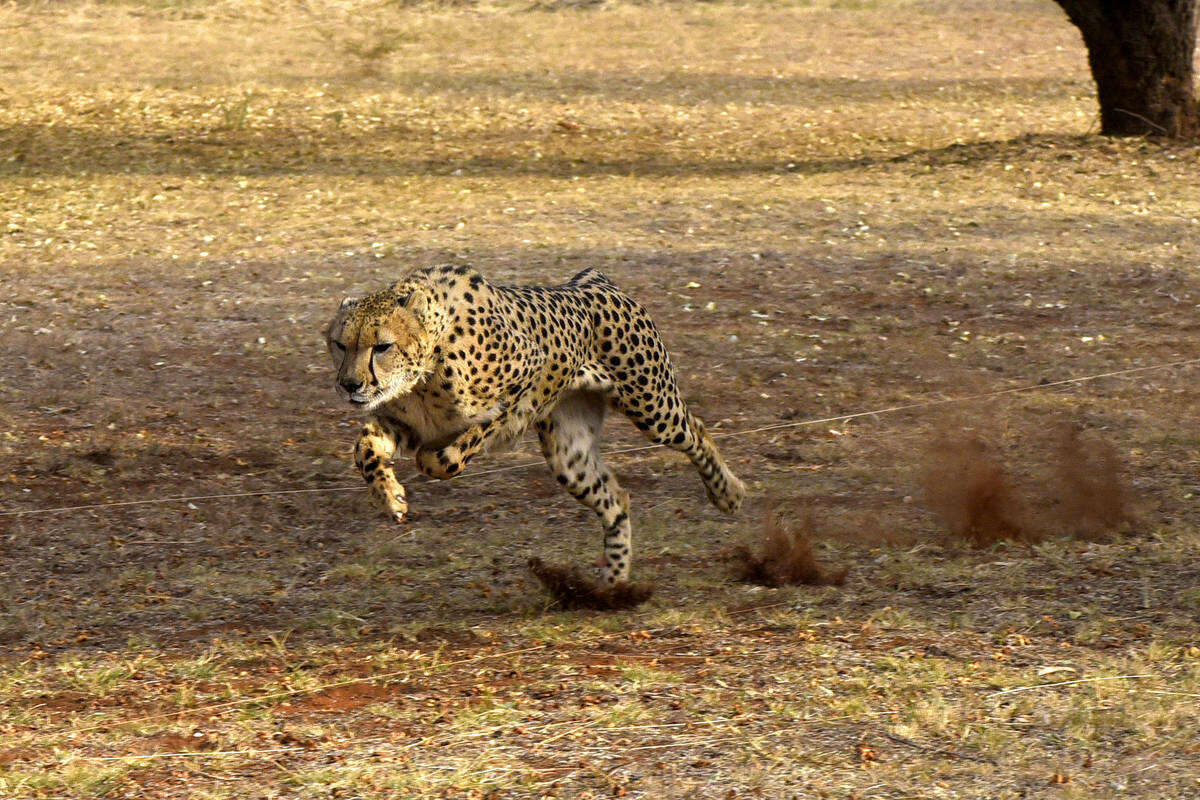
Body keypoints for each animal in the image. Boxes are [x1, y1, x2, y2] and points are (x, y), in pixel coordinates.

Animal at [325, 264, 746, 586]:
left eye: (382, 346)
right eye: (340, 344)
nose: (349, 385)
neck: (426, 369)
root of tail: (593, 280)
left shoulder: (526, 384)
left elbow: (445, 457)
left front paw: (425, 463)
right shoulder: (401, 422)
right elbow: (364, 449)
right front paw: (389, 496)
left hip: (652, 406)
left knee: (697, 430)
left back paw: (728, 493)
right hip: (569, 456)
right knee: (615, 499)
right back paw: (613, 583)